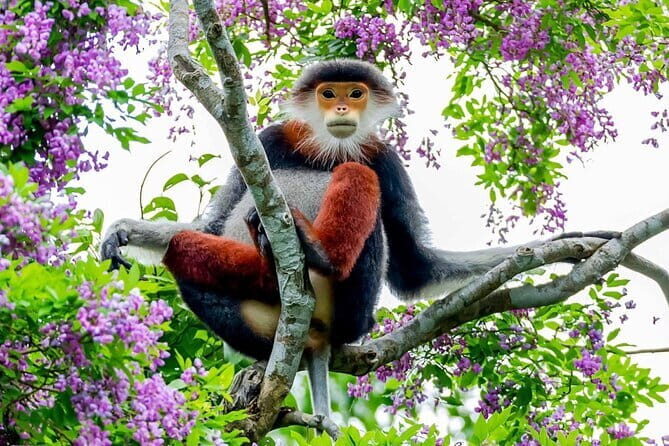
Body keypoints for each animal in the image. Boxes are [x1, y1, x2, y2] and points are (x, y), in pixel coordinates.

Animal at [101, 59, 612, 418]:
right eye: (329, 94)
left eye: (355, 93)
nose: (343, 108)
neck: (329, 148)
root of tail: (316, 336)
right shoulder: (266, 139)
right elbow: (211, 221)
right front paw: (123, 231)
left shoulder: (384, 156)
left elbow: (414, 267)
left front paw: (579, 241)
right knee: (186, 255)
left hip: (353, 307)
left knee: (359, 183)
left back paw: (315, 252)